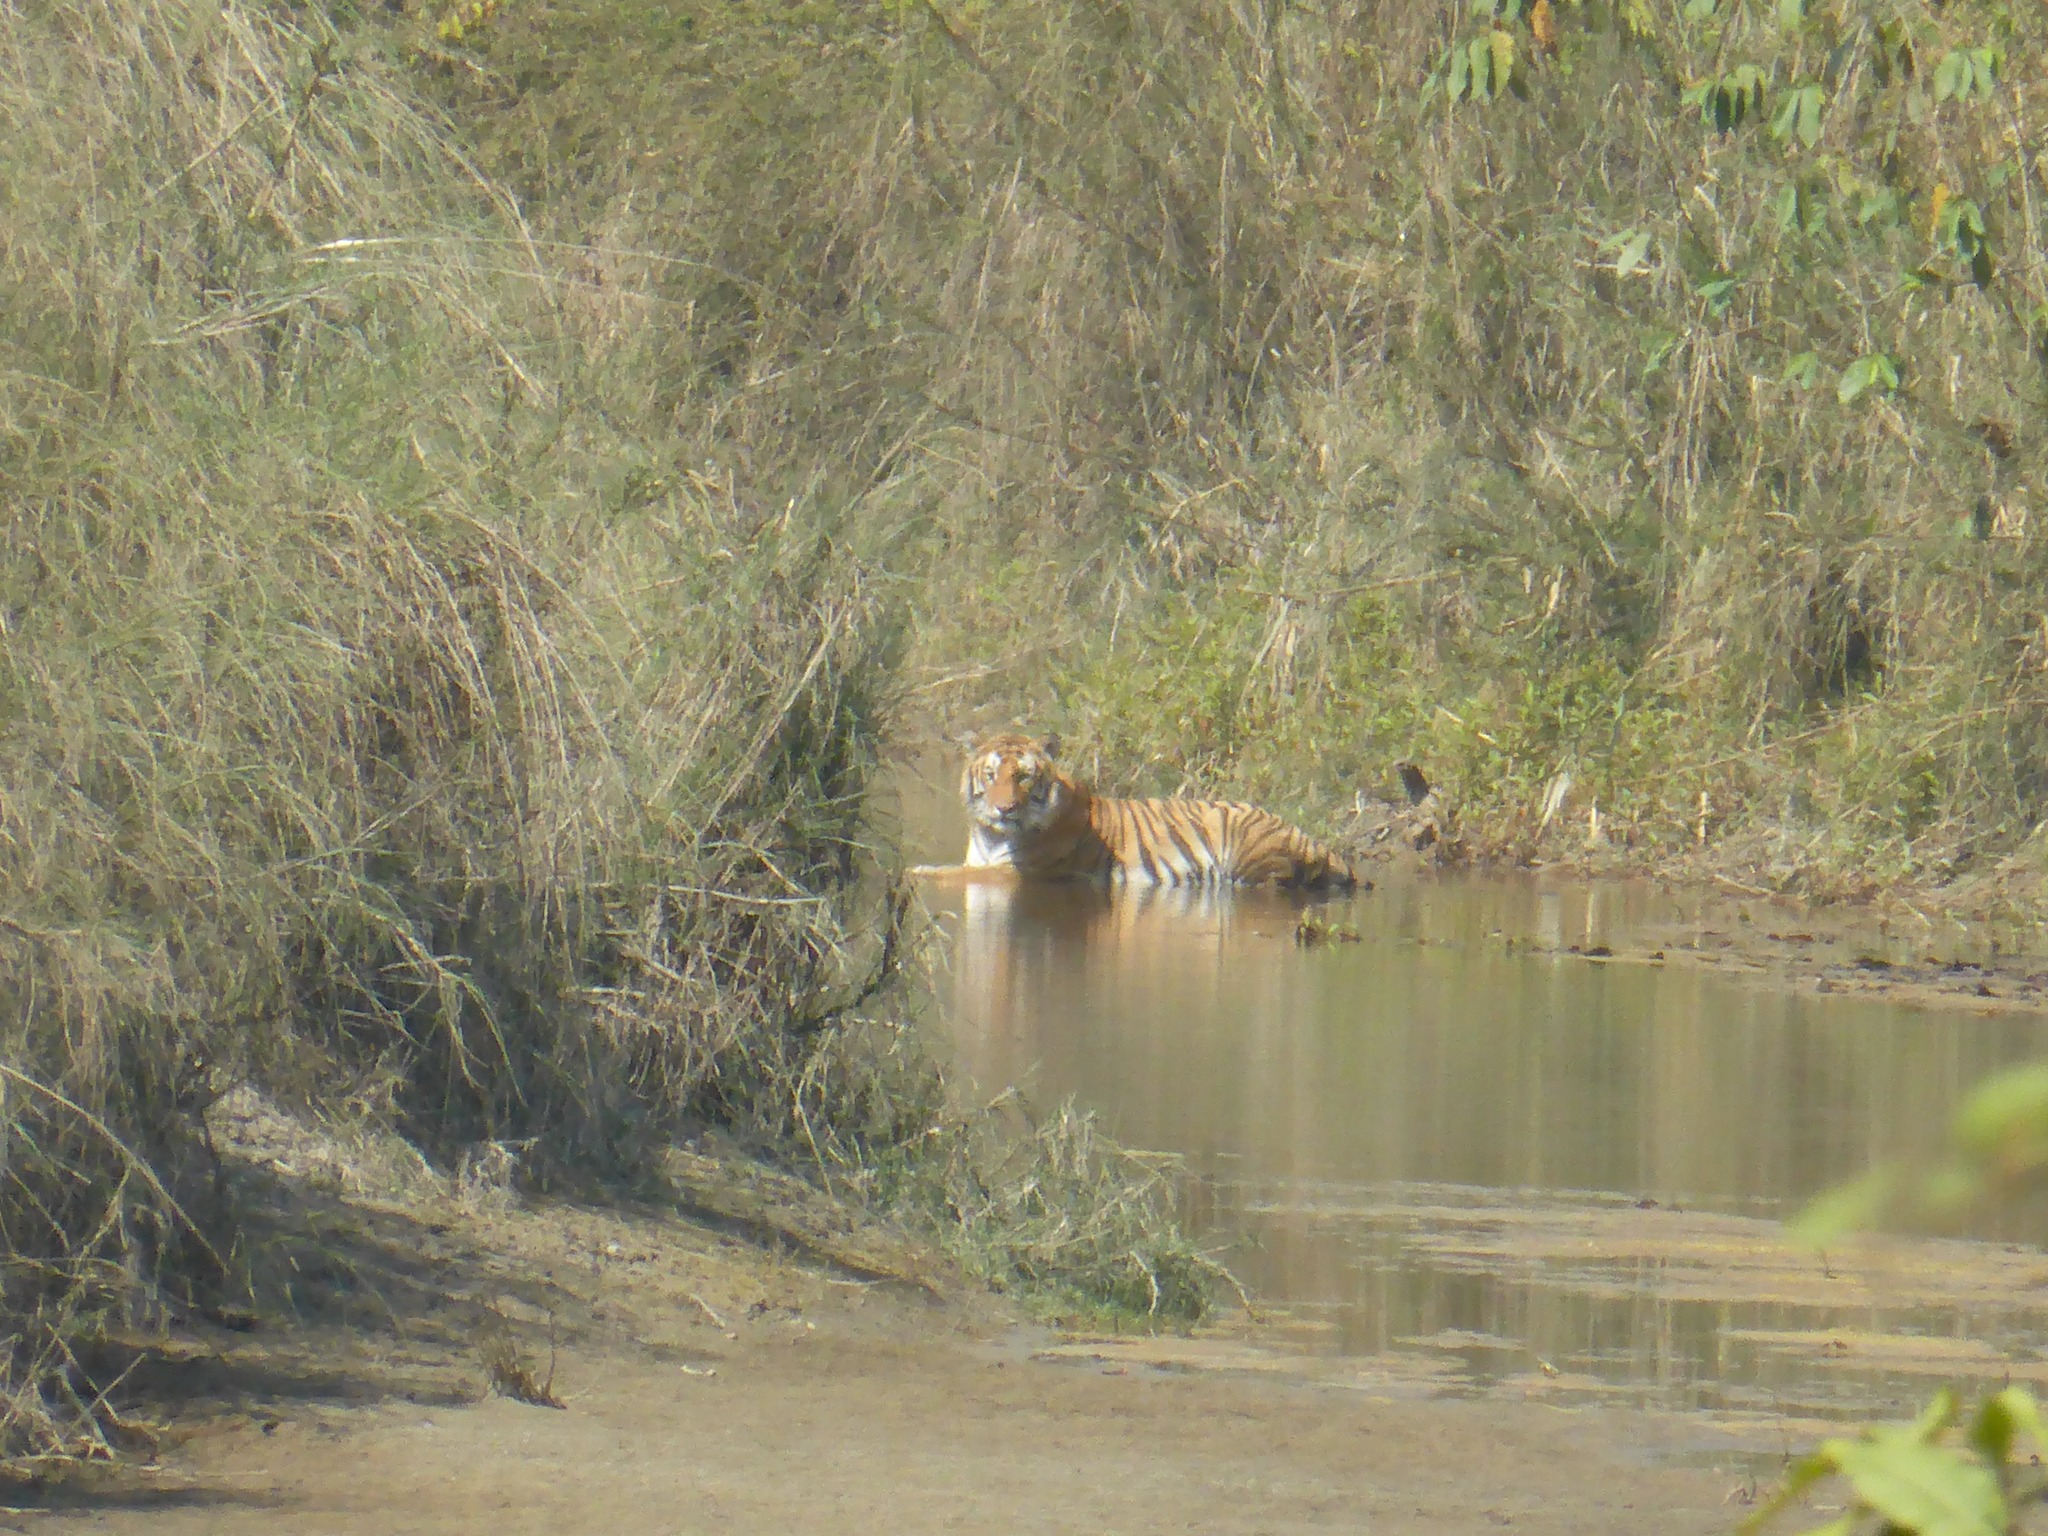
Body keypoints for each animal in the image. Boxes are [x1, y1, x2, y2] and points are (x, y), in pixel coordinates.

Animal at [934, 730, 1362, 891]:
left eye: (1023, 777)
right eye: (991, 775)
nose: (1004, 808)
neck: (992, 834)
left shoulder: (1013, 873)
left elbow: (938, 875)